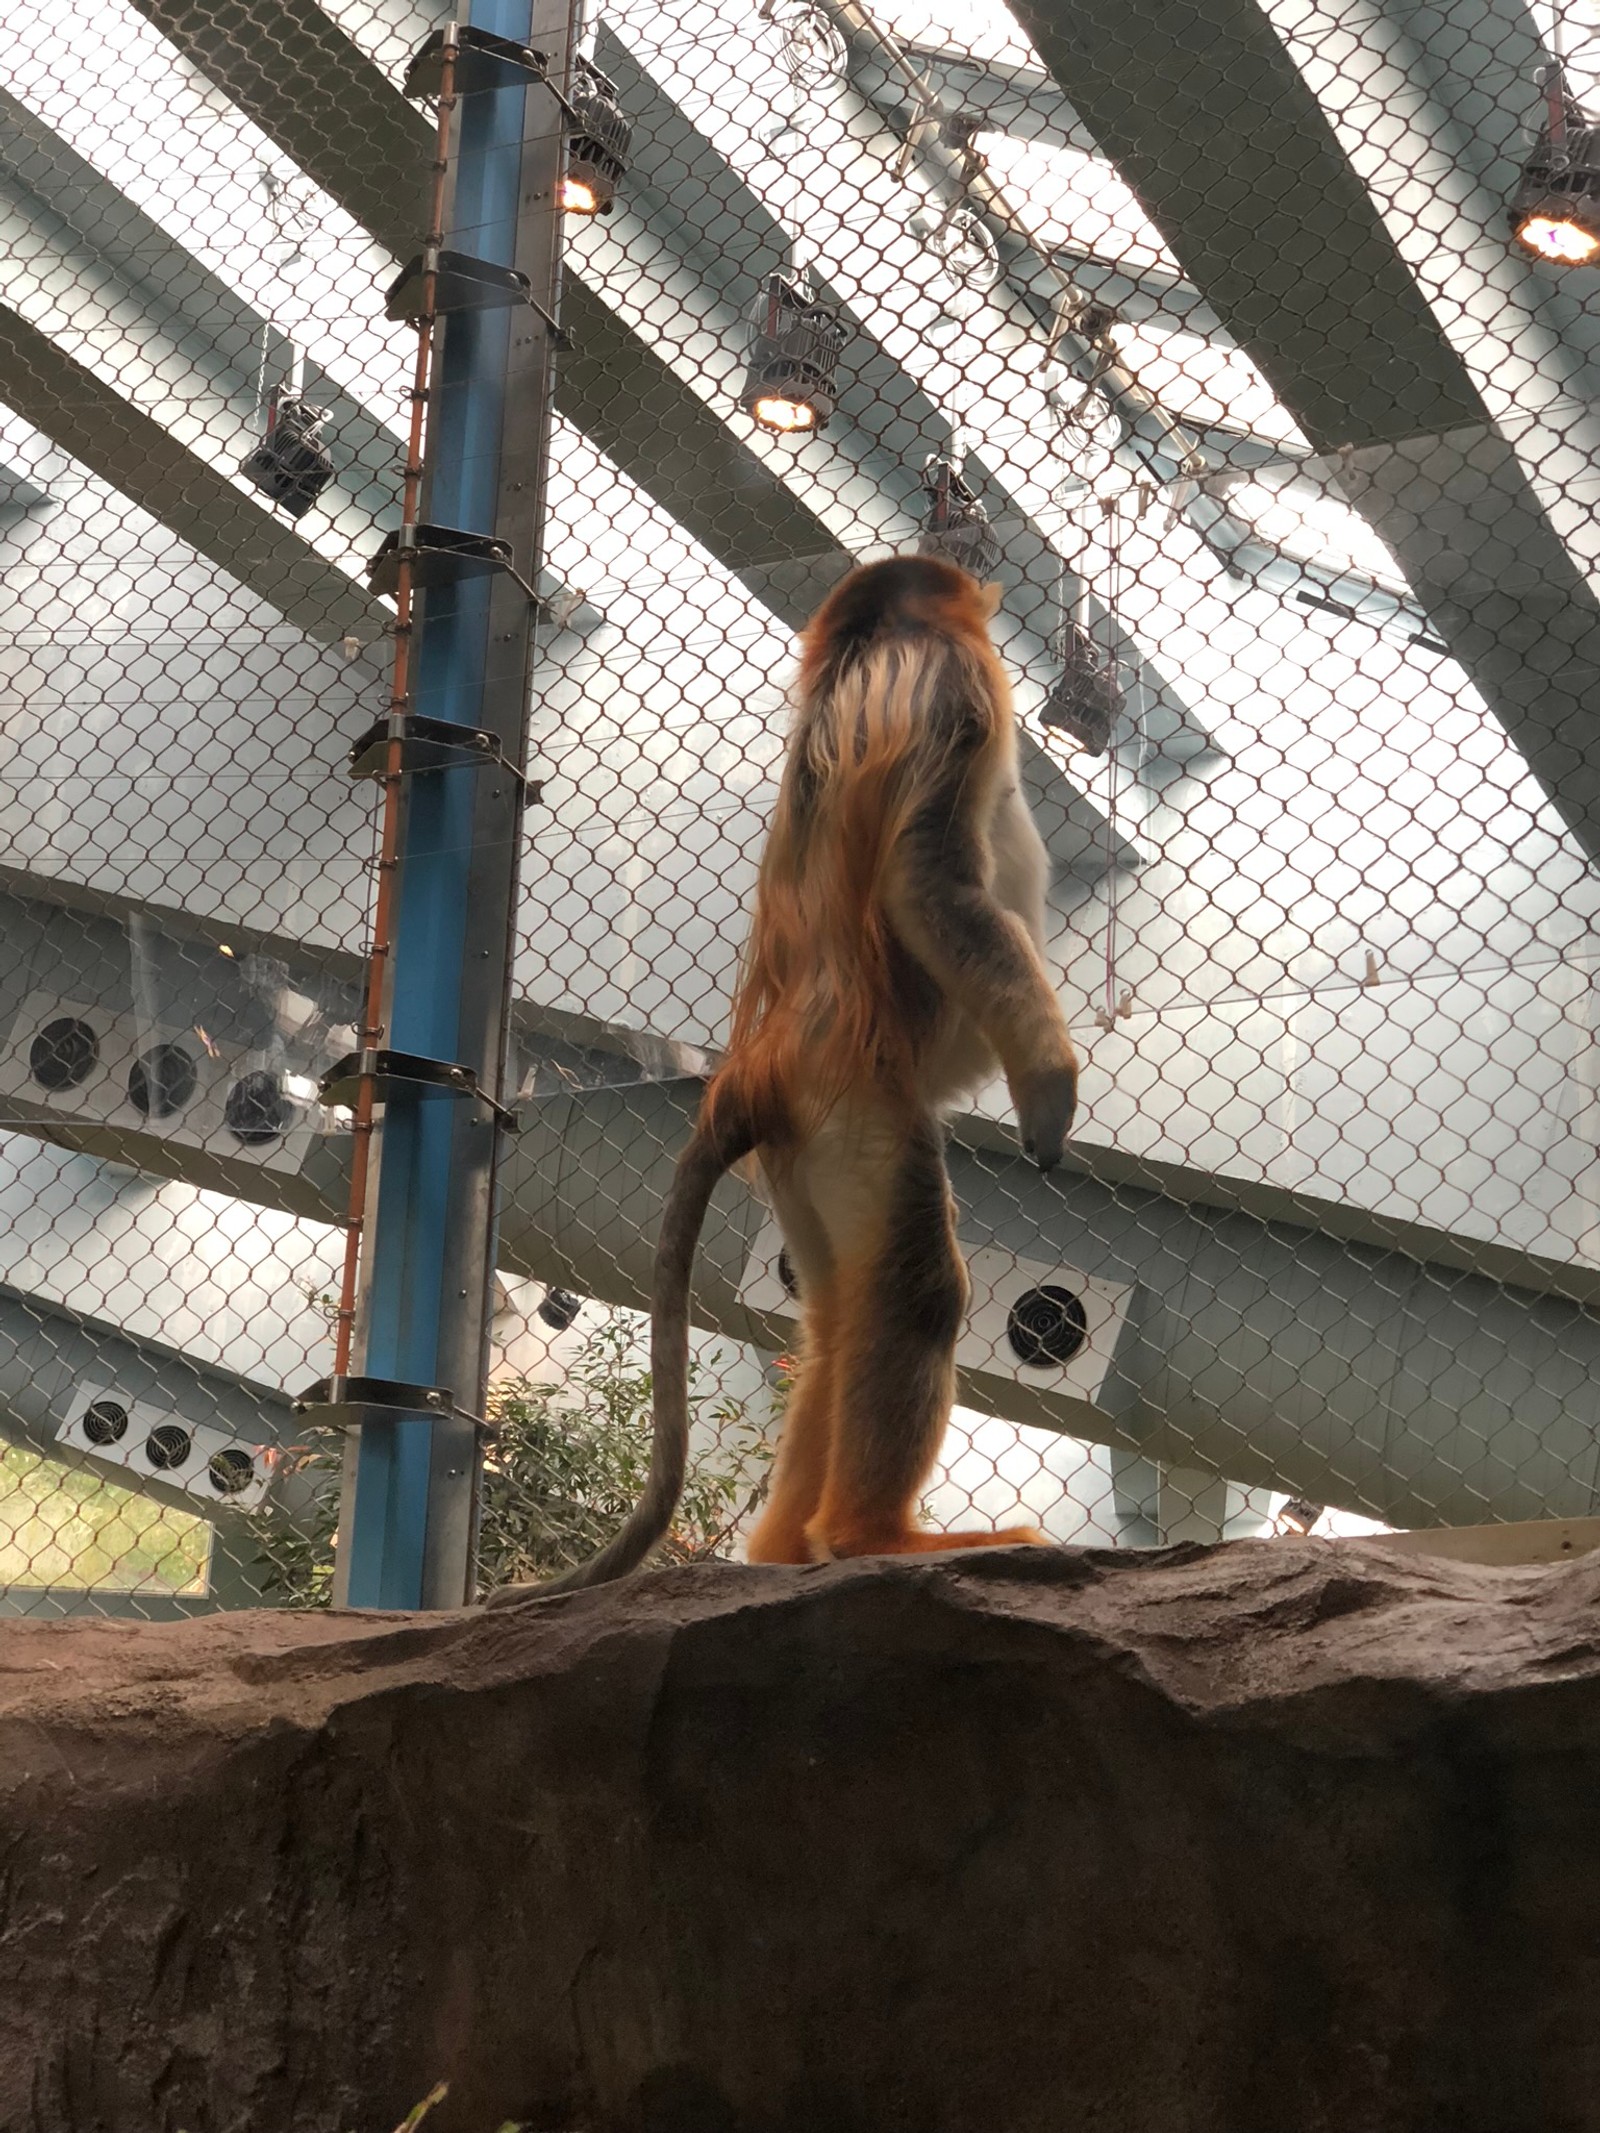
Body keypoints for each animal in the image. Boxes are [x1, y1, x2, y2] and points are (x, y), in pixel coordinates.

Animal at [492, 554, 1079, 1604]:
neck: (864, 646)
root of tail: (758, 1068)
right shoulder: (949, 679)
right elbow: (925, 880)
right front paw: (1047, 1082)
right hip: (856, 1115)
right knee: (916, 1289)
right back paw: (862, 1537)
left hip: (807, 1154)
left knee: (840, 1319)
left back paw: (787, 1551)